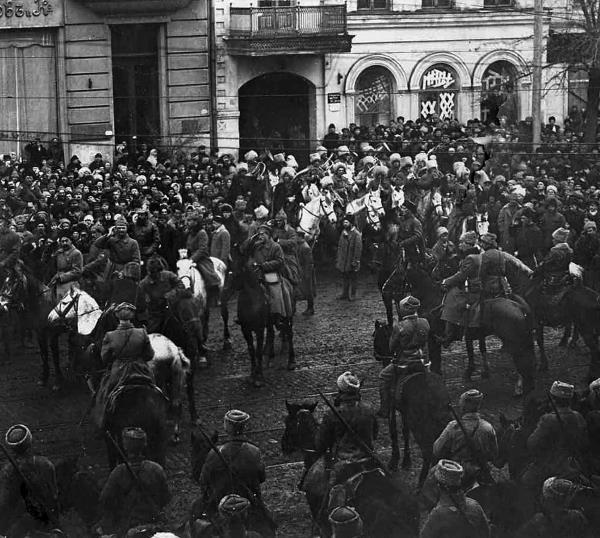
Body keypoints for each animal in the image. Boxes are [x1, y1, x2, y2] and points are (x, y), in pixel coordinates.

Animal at [232, 255, 296, 386]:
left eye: (241, 265)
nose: (234, 284)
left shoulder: (259, 329)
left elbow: (258, 351)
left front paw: (259, 376)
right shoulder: (245, 329)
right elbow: (251, 350)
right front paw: (253, 374)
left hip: (287, 317)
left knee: (289, 334)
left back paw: (291, 361)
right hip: (271, 322)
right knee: (271, 335)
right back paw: (270, 358)